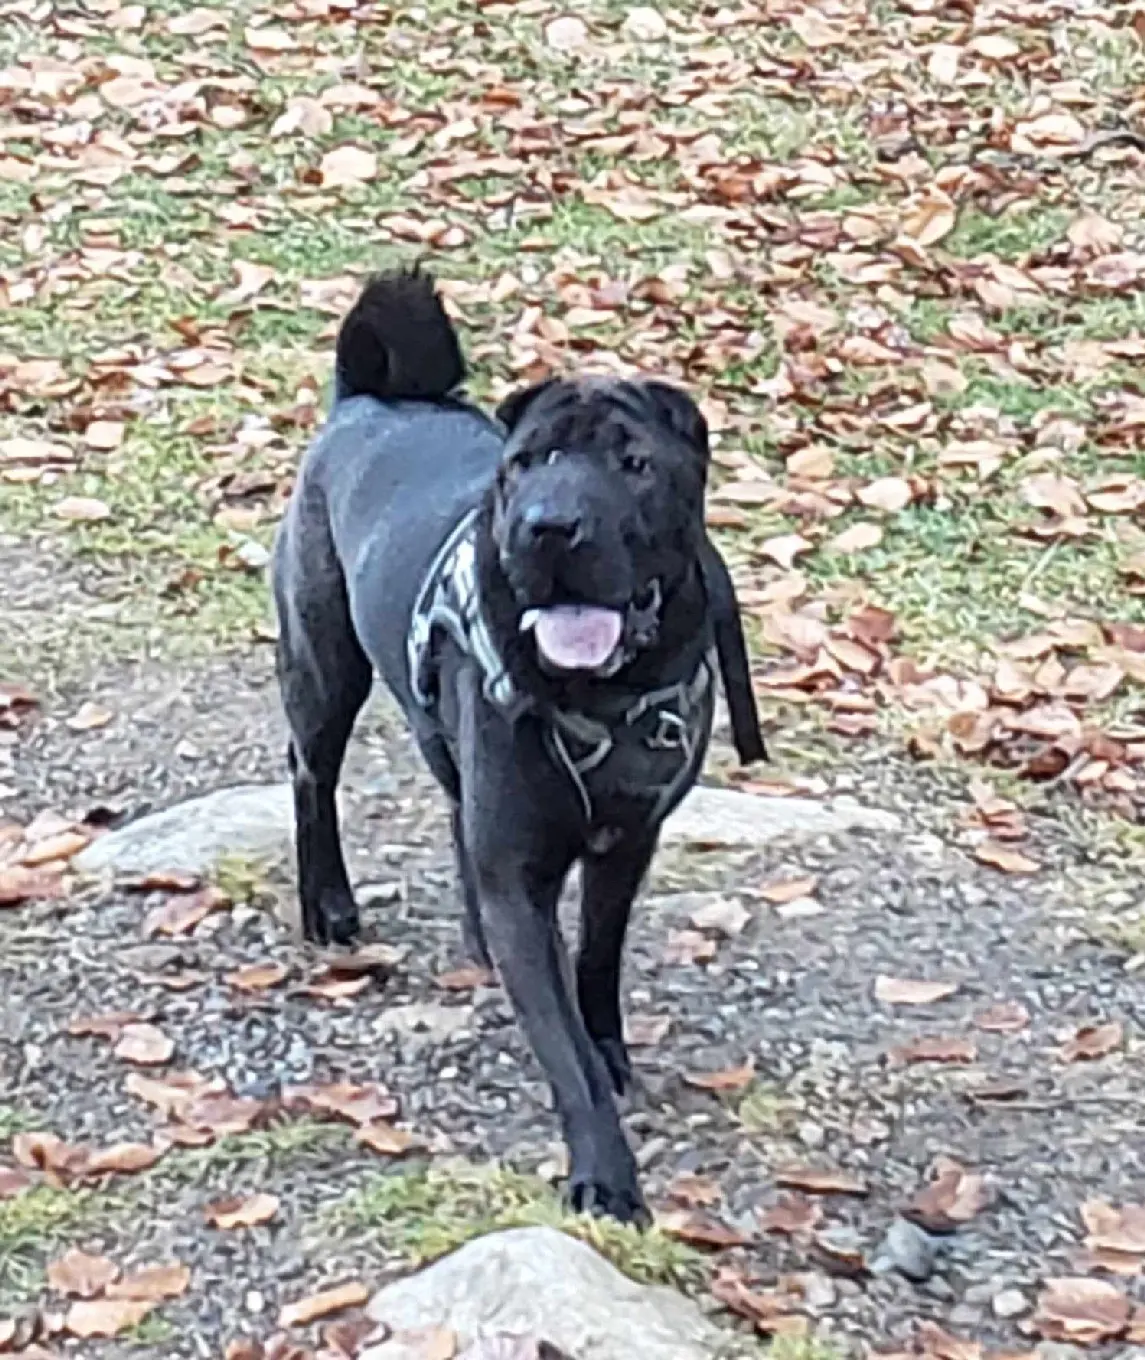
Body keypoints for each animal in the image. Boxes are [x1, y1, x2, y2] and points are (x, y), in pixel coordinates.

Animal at [271, 267, 761, 1224]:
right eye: (527, 462)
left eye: (633, 464)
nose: (548, 525)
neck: (602, 692)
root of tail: (366, 398)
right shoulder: (519, 873)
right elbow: (561, 1044)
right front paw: (605, 1175)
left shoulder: (628, 841)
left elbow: (597, 959)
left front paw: (609, 1045)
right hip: (324, 662)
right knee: (312, 772)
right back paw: (330, 905)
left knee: (450, 800)